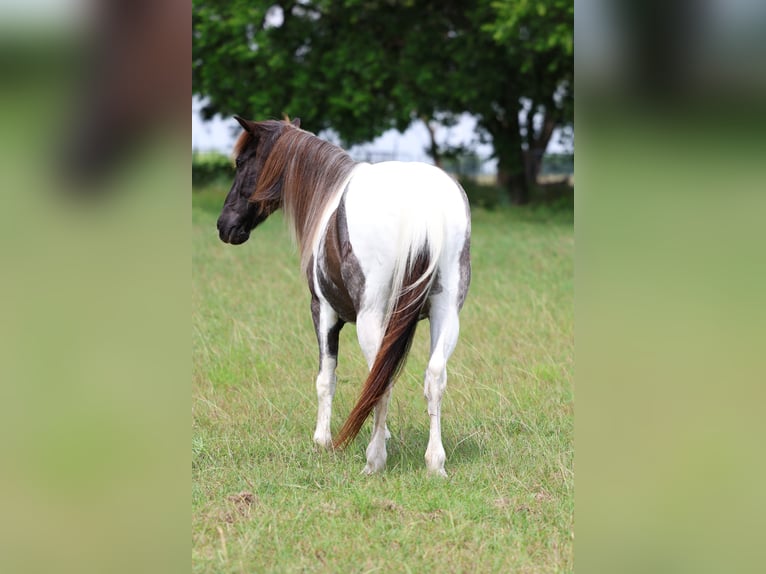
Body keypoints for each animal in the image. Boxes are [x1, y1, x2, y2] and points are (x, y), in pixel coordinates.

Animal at [216, 116, 471, 476]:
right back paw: (434, 463)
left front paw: (322, 440)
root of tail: (419, 206)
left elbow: (327, 377)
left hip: (370, 317)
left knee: (382, 380)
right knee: (433, 377)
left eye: (241, 162)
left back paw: (374, 460)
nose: (224, 226)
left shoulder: (322, 311)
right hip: (446, 313)